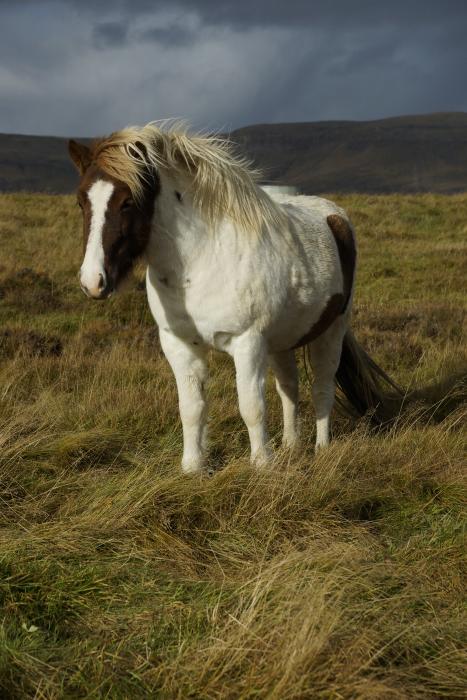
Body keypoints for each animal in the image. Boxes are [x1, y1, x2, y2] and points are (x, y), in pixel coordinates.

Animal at [67, 123, 400, 474]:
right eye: (81, 202)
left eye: (128, 202)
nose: (93, 281)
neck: (201, 259)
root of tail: (334, 216)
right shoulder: (179, 344)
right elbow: (192, 407)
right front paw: (193, 467)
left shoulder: (247, 342)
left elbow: (252, 406)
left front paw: (262, 464)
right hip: (282, 340)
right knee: (289, 387)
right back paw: (291, 446)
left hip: (331, 330)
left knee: (322, 385)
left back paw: (321, 449)